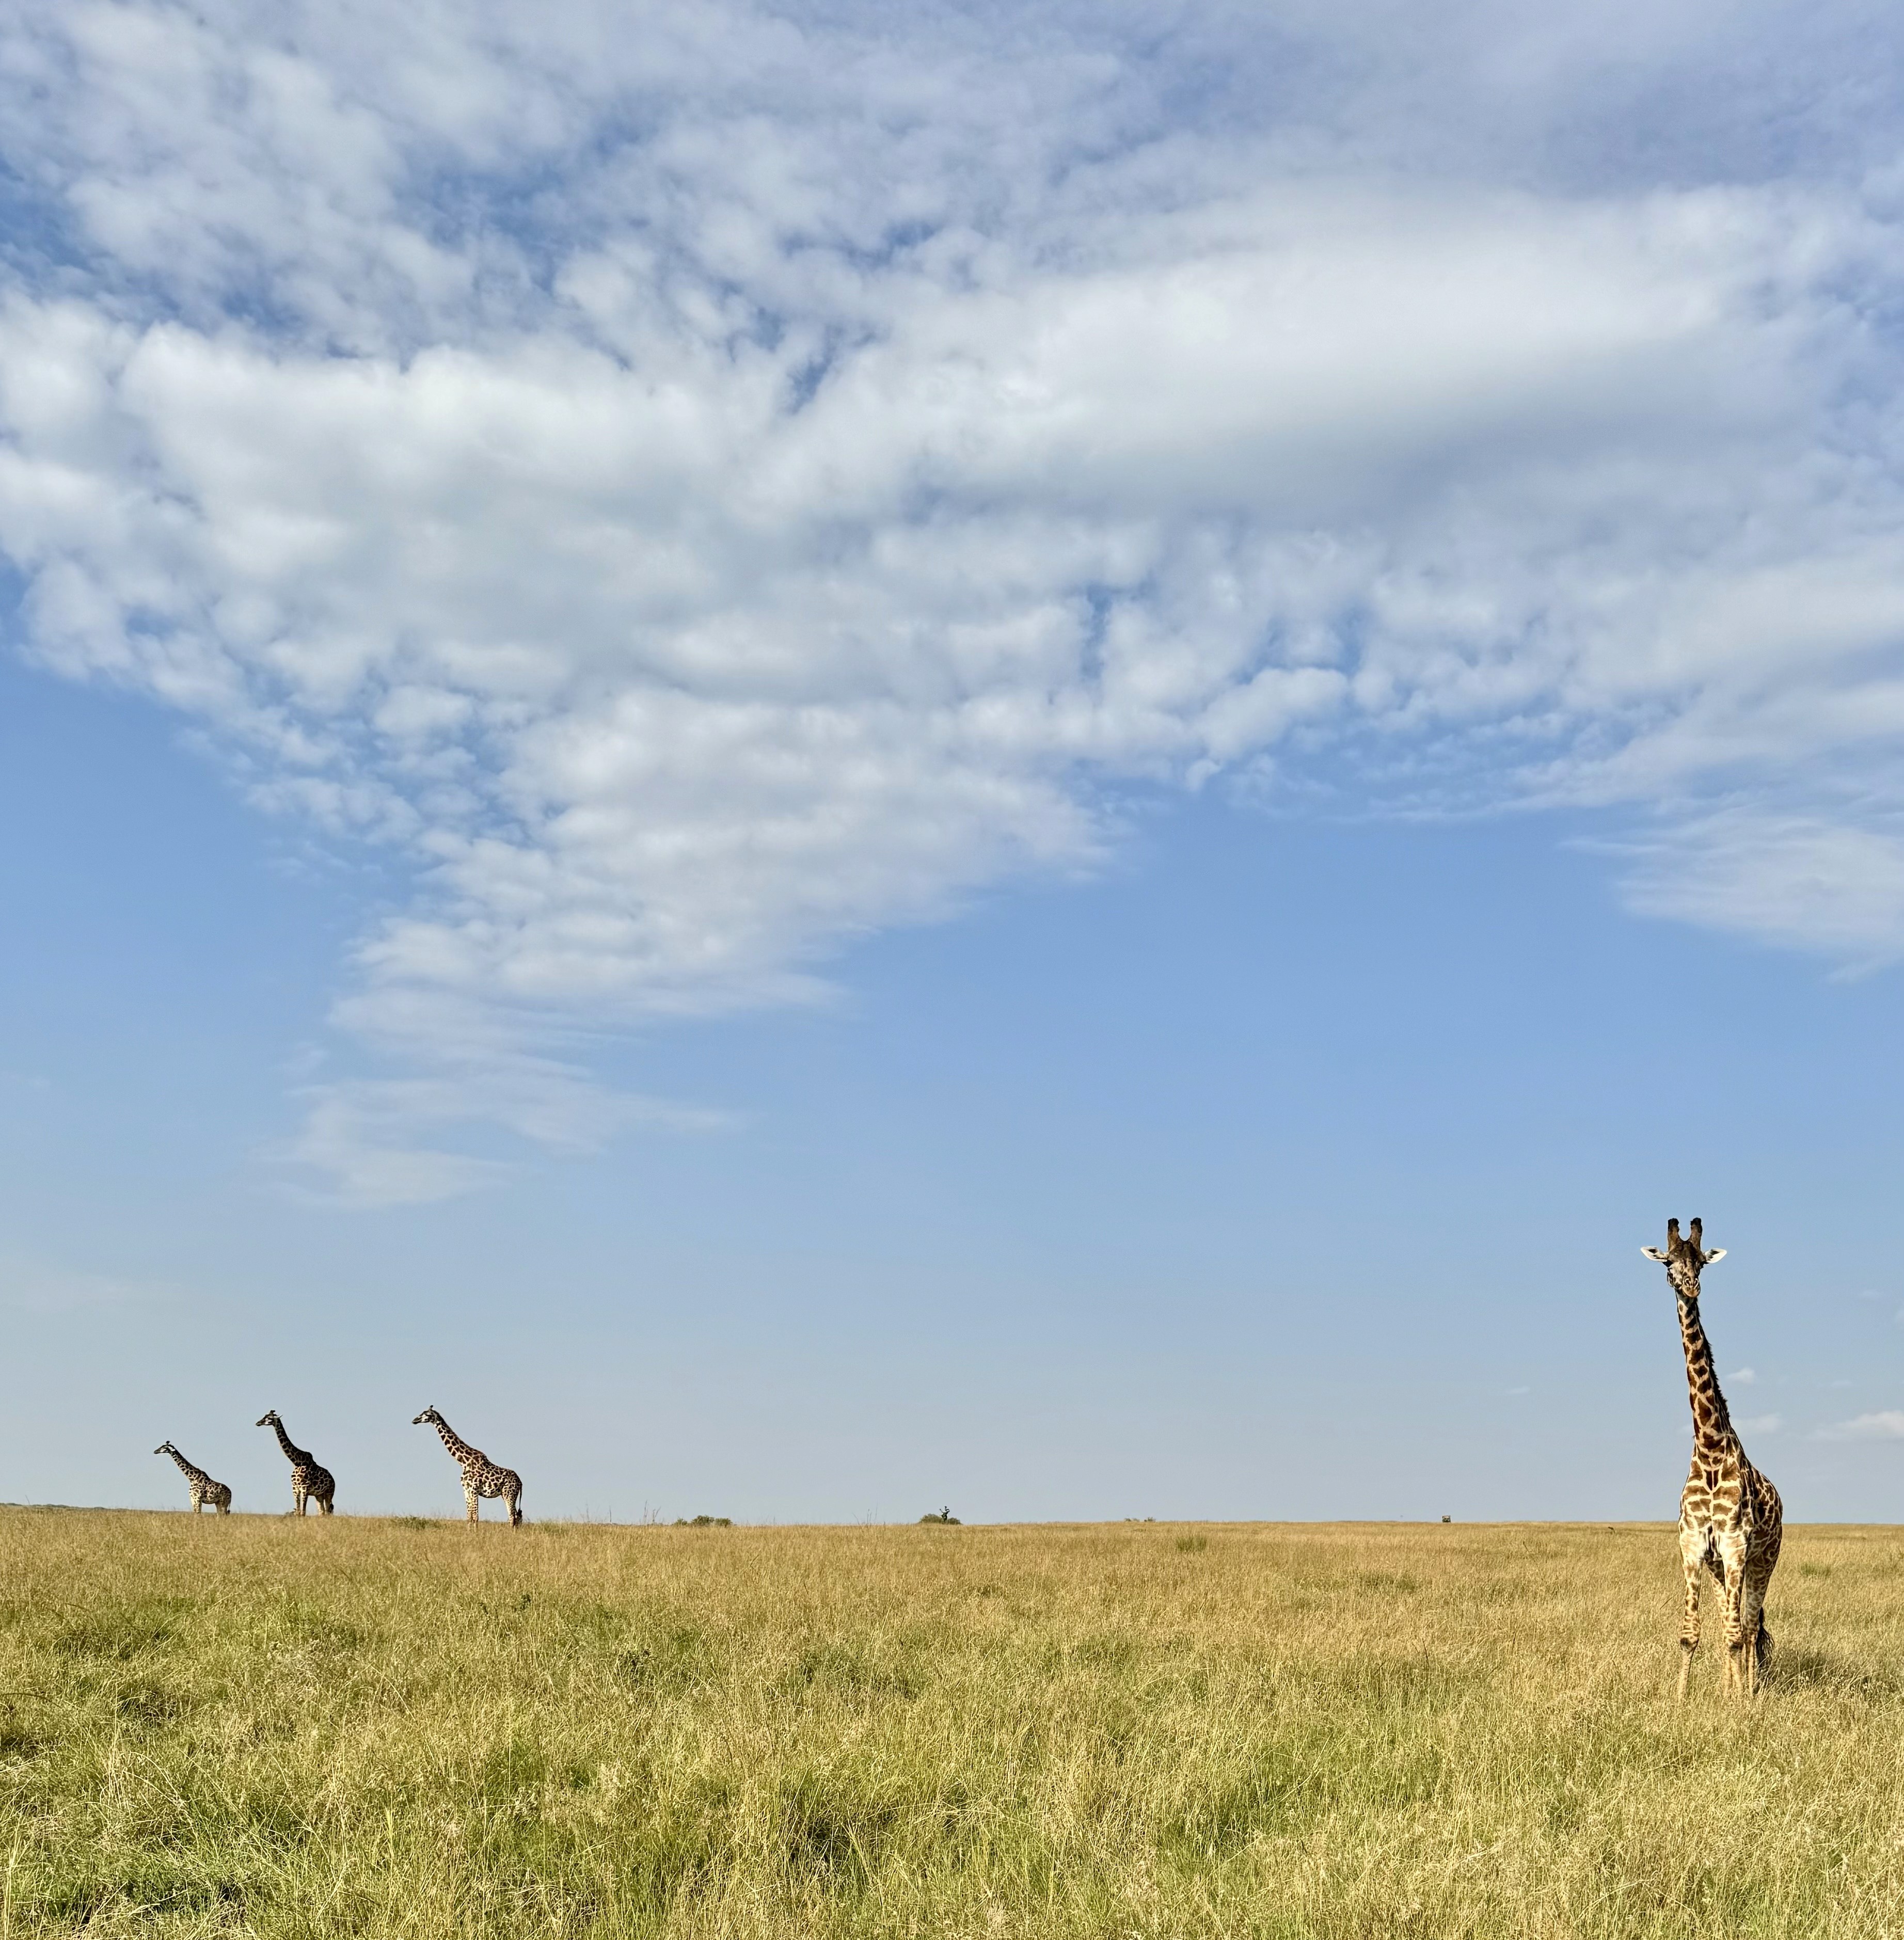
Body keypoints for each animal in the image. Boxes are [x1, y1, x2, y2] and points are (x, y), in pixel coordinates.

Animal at [154, 1441, 232, 1515]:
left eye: (164, 1448)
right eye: (162, 1446)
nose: (155, 1451)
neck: (192, 1478)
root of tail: (231, 1493)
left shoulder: (198, 1498)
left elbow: (198, 1513)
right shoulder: (193, 1498)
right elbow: (195, 1513)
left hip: (223, 1502)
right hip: (218, 1503)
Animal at [255, 1410, 336, 1516]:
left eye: (270, 1418)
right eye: (265, 1416)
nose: (258, 1423)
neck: (298, 1462)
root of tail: (333, 1480)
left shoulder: (305, 1489)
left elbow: (303, 1513)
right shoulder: (295, 1489)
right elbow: (298, 1512)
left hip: (329, 1493)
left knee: (327, 1512)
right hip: (319, 1495)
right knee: (322, 1513)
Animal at [413, 1407, 523, 1525]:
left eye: (427, 1414)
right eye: (422, 1413)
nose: (414, 1421)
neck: (463, 1462)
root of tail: (521, 1483)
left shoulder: (474, 1489)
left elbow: (475, 1517)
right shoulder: (466, 1490)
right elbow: (469, 1517)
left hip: (509, 1494)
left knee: (513, 1517)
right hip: (505, 1494)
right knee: (517, 1516)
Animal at [1642, 1217, 1783, 1699]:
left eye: (1701, 1263)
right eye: (1668, 1264)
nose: (1690, 1287)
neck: (1708, 1448)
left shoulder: (1737, 1545)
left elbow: (1739, 1634)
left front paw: (1740, 1703)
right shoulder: (1692, 1545)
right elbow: (1692, 1631)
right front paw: (1683, 1700)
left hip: (1763, 1560)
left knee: (1751, 1625)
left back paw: (1749, 1691)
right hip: (1720, 1565)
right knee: (1730, 1620)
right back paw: (1729, 1687)